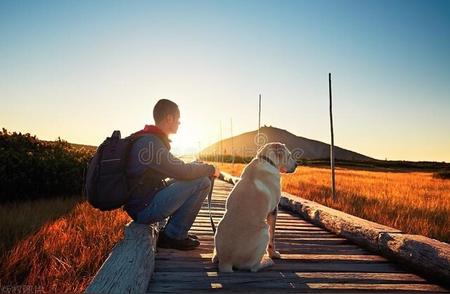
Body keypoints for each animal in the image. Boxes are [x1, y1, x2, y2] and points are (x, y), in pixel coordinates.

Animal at [212, 142, 298, 274]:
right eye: (289, 156)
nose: (297, 165)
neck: (266, 160)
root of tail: (226, 261)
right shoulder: (274, 210)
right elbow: (273, 238)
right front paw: (274, 254)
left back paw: (215, 256)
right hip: (264, 231)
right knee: (252, 267)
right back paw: (267, 261)